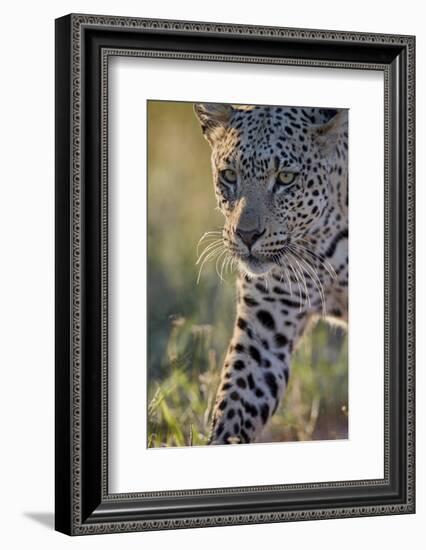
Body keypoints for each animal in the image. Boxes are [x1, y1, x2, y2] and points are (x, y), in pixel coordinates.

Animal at [195, 103, 348, 446]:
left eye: (286, 178)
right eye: (229, 175)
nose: (247, 235)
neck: (319, 242)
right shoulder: (264, 332)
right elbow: (233, 407)